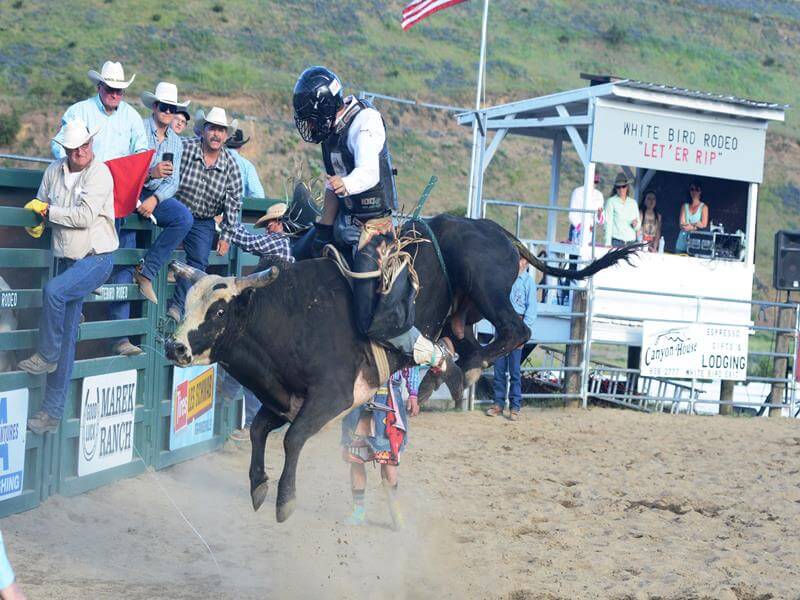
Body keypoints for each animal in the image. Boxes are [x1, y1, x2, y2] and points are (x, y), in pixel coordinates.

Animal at [162, 214, 636, 520]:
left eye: (219, 311)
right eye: (186, 305)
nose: (176, 347)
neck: (290, 313)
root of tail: (497, 230)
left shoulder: (331, 395)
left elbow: (293, 438)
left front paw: (285, 500)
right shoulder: (282, 398)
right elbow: (261, 430)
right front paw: (259, 486)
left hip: (483, 282)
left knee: (515, 329)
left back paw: (458, 373)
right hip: (459, 315)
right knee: (465, 344)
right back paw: (447, 376)